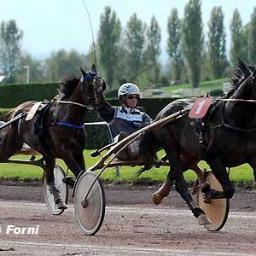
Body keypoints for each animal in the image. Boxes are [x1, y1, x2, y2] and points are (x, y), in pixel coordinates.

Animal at [0, 66, 106, 210]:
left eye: (103, 85)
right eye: (90, 86)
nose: (103, 106)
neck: (65, 117)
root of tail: (16, 110)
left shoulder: (78, 152)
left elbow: (81, 173)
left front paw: (69, 181)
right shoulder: (65, 152)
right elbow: (79, 173)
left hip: (47, 154)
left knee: (49, 175)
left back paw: (58, 200)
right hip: (9, 147)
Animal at [139, 61, 256, 225]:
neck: (235, 119)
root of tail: (160, 115)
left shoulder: (253, 158)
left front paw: (205, 188)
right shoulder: (213, 158)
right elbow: (228, 190)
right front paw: (207, 191)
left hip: (189, 154)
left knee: (173, 173)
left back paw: (159, 195)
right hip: (171, 146)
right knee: (180, 183)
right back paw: (199, 212)